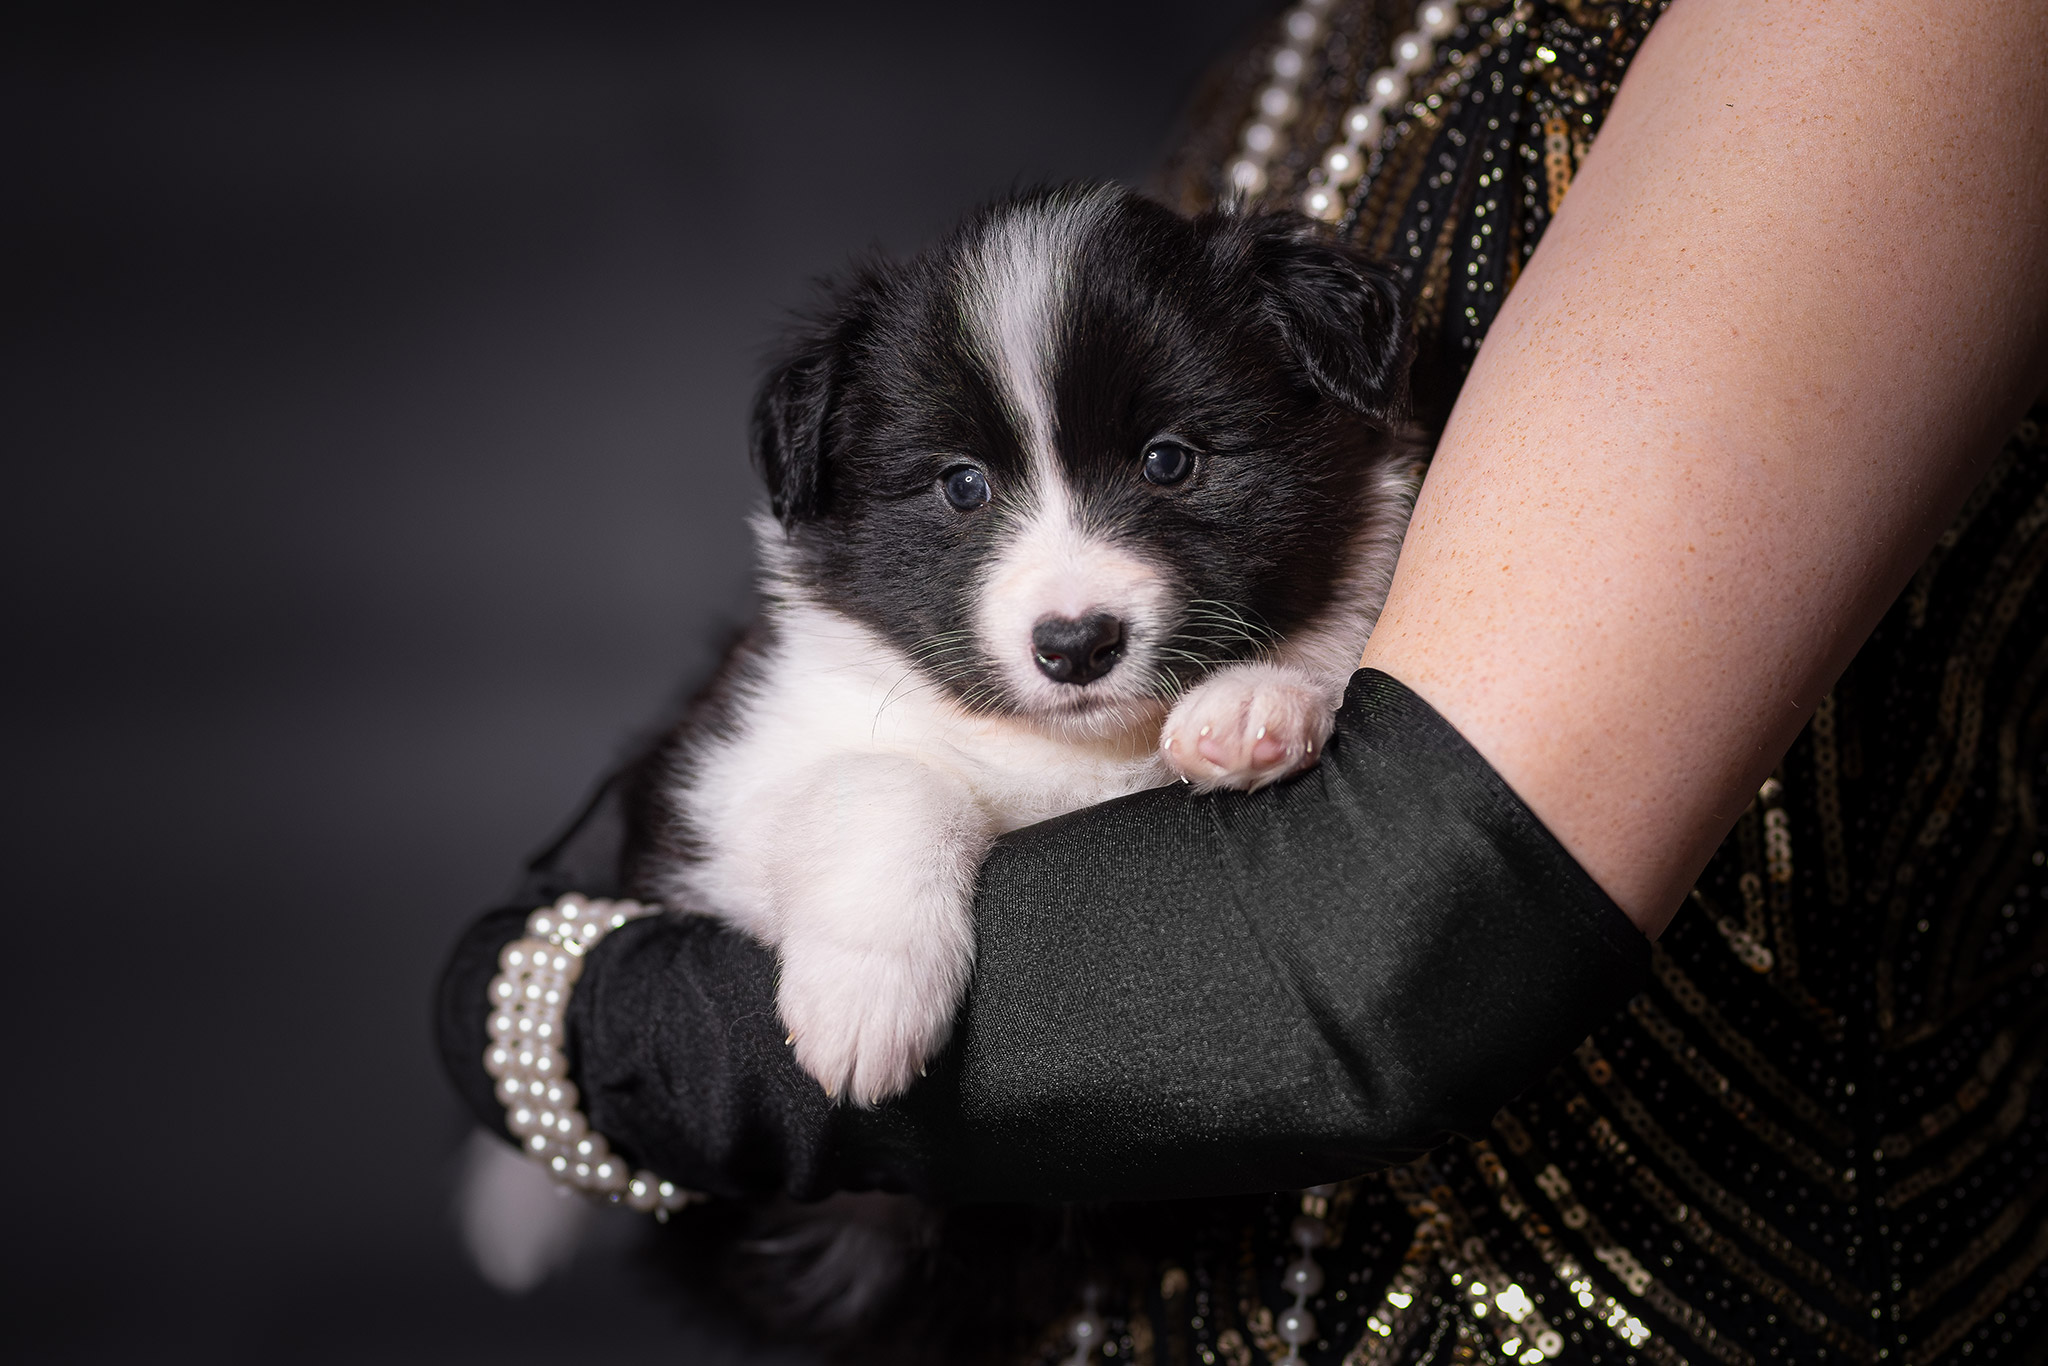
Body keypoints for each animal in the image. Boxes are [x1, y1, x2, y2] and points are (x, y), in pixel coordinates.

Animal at [647, 181, 1417, 1105]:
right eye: (961, 485)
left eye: (1168, 460)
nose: (1076, 644)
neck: (1080, 751)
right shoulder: (723, 792)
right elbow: (881, 778)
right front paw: (866, 994)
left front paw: (1256, 701)